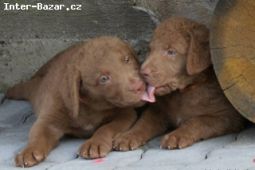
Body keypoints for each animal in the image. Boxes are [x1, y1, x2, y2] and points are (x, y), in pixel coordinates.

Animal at [5, 36, 152, 167]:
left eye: (127, 59)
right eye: (103, 78)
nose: (139, 86)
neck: (91, 105)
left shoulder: (126, 114)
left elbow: (106, 128)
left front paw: (94, 143)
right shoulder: (49, 117)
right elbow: (38, 133)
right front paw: (28, 151)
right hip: (35, 88)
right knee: (25, 88)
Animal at [113, 16, 245, 150]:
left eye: (171, 51)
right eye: (150, 50)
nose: (142, 72)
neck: (182, 93)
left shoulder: (227, 115)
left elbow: (197, 121)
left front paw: (176, 136)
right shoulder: (157, 111)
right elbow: (143, 123)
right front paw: (128, 136)